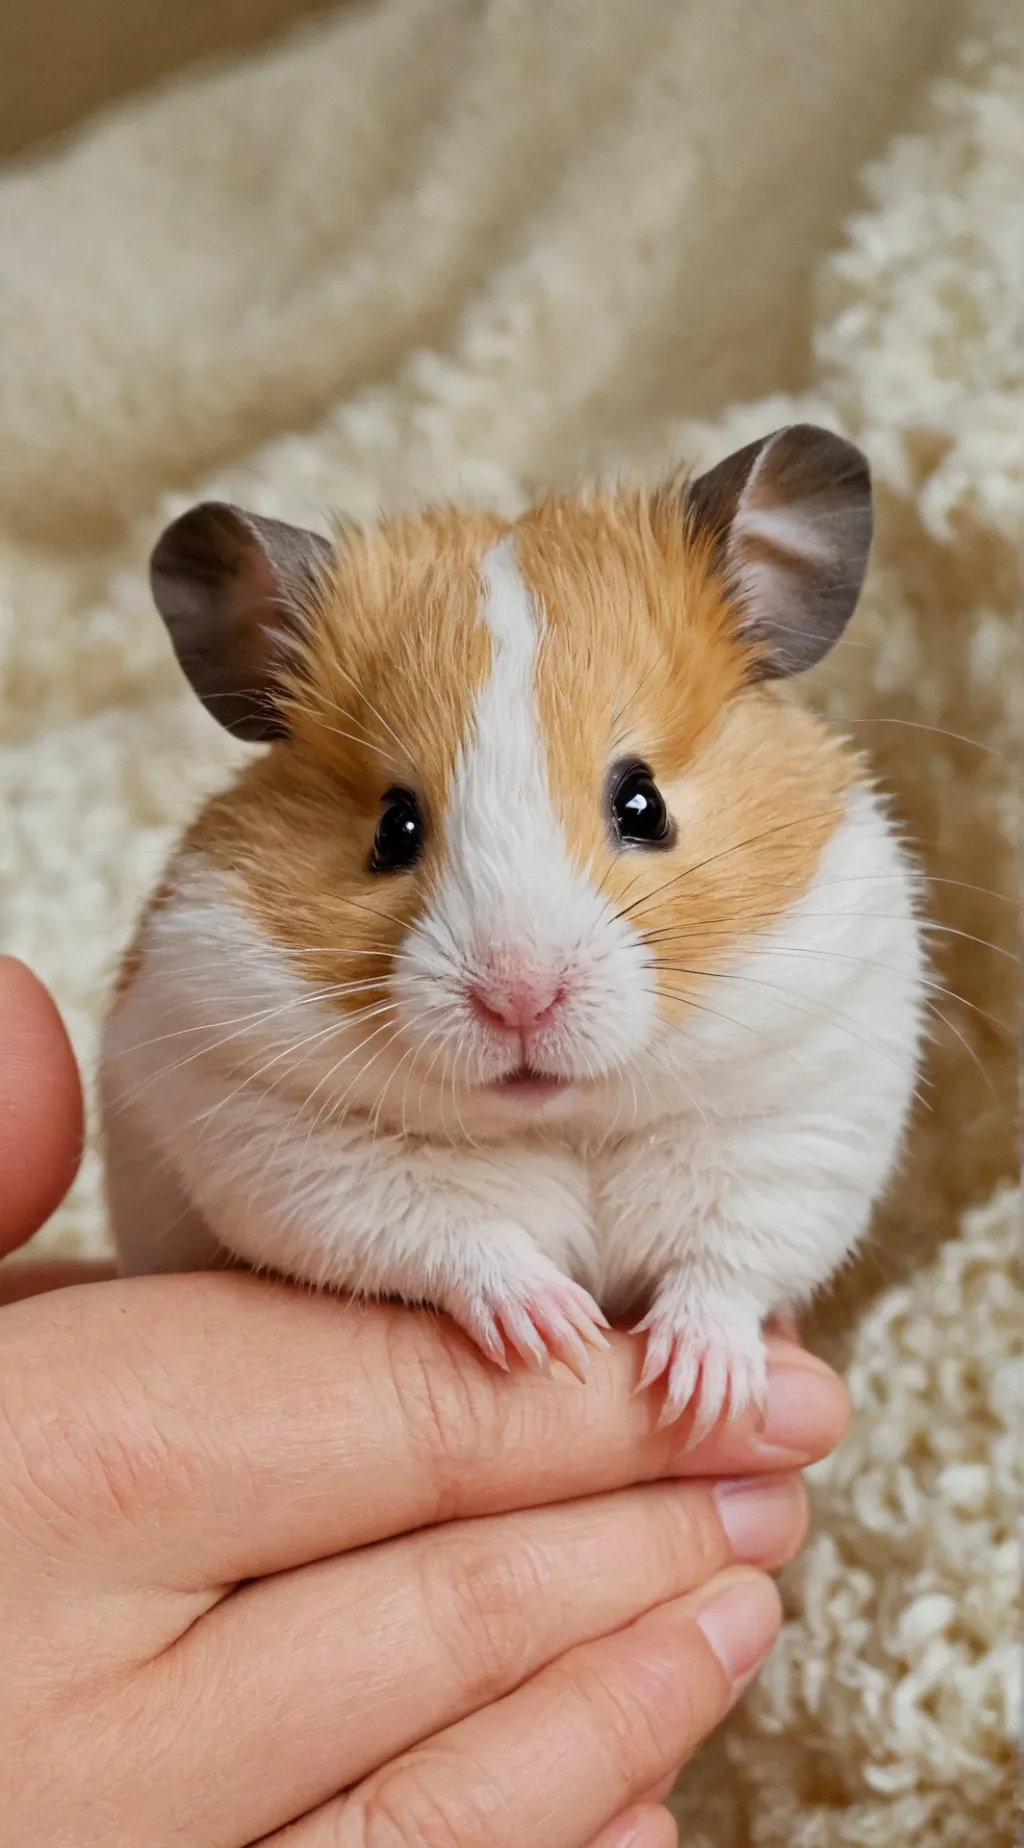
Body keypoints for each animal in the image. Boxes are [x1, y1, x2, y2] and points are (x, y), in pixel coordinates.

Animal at [101, 424, 926, 1441]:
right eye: (394, 828)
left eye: (644, 803)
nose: (520, 1000)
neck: (566, 1121)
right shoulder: (272, 1135)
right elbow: (449, 1236)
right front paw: (559, 1335)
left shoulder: (807, 1122)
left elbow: (730, 1261)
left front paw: (702, 1396)